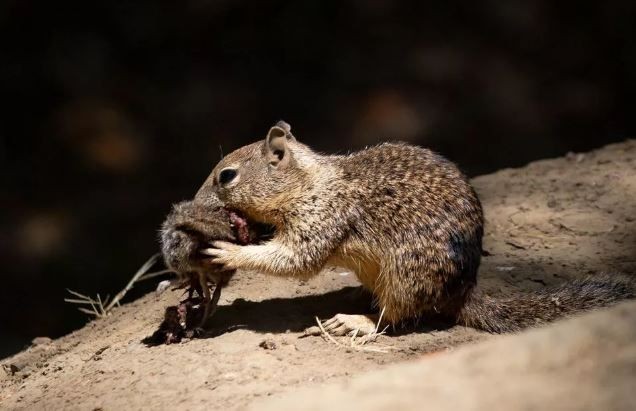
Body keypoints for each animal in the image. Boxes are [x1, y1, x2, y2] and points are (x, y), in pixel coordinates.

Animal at [176, 121, 632, 334]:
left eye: (226, 176)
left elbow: (295, 259)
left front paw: (228, 252)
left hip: (406, 275)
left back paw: (356, 321)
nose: (193, 201)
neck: (309, 183)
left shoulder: (322, 218)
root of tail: (463, 291)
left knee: (394, 316)